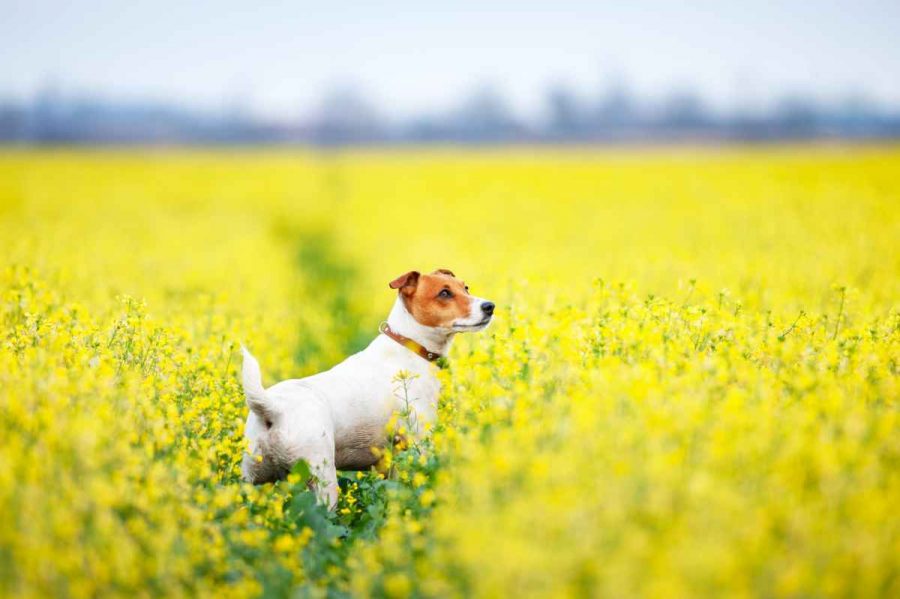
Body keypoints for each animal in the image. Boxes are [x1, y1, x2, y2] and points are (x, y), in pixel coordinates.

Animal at [239, 270, 492, 508]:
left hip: (251, 480)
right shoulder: (421, 442)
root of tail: (273, 409)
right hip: (322, 478)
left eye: (466, 287)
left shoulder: (391, 459)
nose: (489, 306)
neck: (410, 345)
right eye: (444, 293)